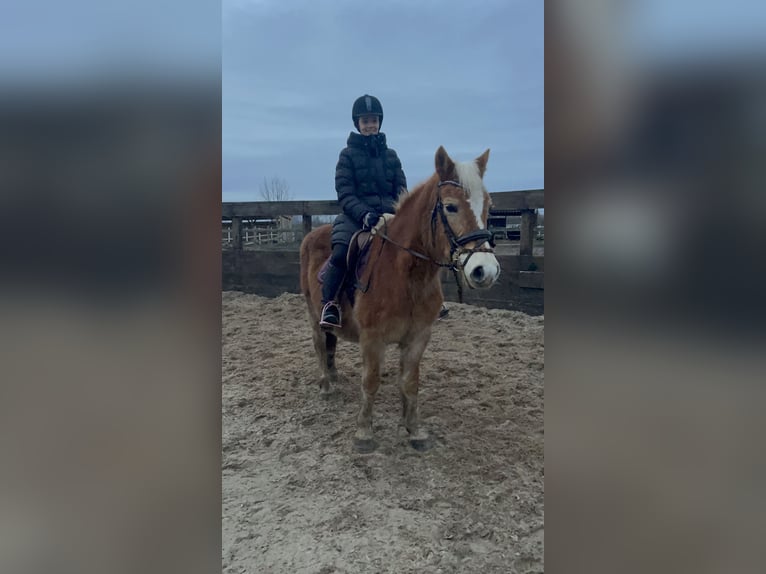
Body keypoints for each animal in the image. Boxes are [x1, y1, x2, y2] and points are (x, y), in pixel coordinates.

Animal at [300, 146, 504, 452]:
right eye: (451, 207)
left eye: (488, 206)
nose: (485, 270)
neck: (406, 276)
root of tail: (313, 234)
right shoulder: (372, 338)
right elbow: (371, 382)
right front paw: (364, 434)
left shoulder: (418, 336)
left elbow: (410, 382)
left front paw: (414, 431)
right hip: (313, 313)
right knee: (319, 344)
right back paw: (325, 384)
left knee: (330, 340)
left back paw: (334, 376)